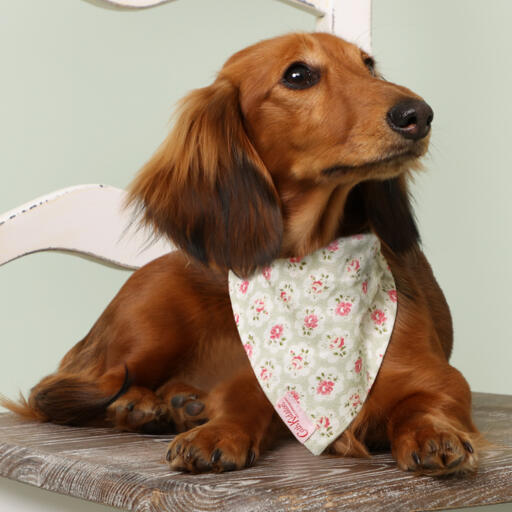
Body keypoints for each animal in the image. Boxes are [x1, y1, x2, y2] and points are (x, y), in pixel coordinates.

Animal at [1, 33, 480, 476]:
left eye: (369, 66)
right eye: (298, 75)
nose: (418, 115)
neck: (308, 269)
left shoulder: (440, 378)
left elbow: (422, 404)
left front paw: (434, 432)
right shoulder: (261, 376)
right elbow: (241, 400)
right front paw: (217, 432)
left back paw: (180, 402)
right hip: (149, 324)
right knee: (81, 387)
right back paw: (142, 406)